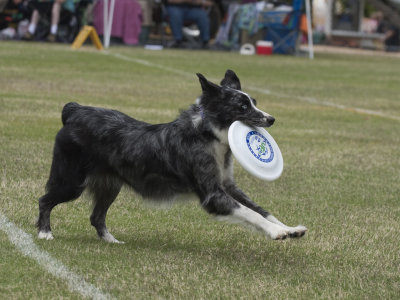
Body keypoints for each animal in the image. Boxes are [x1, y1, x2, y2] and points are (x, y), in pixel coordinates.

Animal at [36, 69, 306, 243]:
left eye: (254, 102)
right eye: (242, 107)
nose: (271, 119)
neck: (208, 134)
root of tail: (75, 110)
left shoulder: (228, 186)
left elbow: (261, 210)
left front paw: (289, 228)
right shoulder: (213, 194)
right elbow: (250, 213)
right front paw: (276, 233)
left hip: (110, 185)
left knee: (96, 216)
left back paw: (111, 240)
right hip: (71, 181)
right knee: (44, 200)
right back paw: (44, 233)